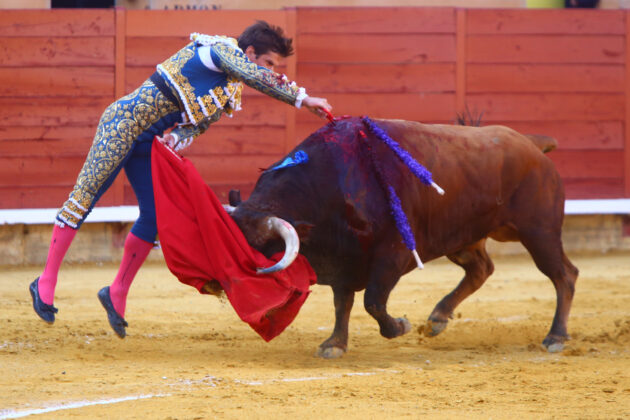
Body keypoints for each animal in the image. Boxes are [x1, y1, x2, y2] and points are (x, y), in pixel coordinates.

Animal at [230, 116, 580, 360]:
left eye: (259, 249)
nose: (223, 286)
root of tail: (530, 143)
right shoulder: (345, 258)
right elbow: (342, 303)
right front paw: (334, 344)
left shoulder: (391, 256)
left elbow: (372, 301)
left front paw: (399, 327)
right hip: (465, 237)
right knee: (481, 269)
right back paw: (437, 318)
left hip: (539, 233)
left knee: (564, 274)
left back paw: (555, 337)